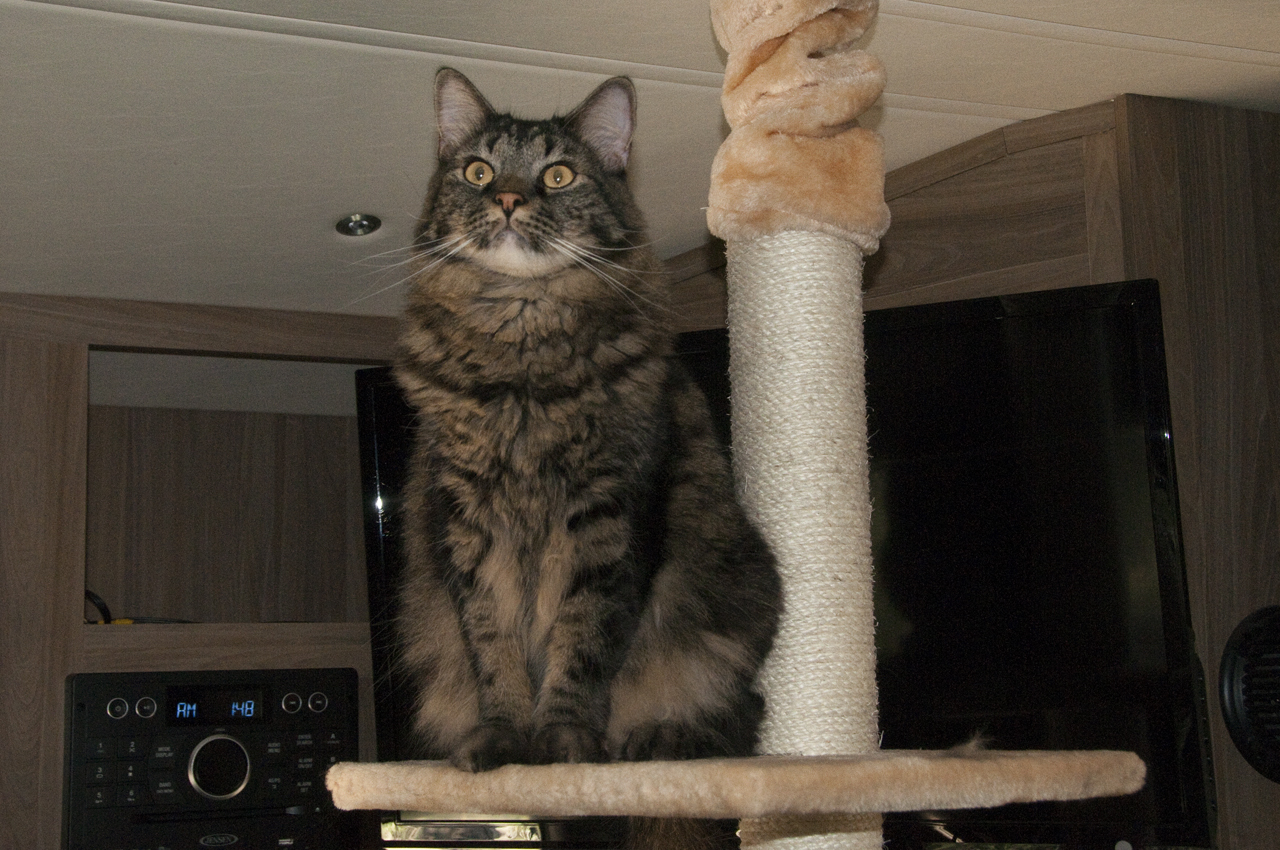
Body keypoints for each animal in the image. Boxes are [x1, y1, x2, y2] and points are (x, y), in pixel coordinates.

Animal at [394, 68, 778, 803]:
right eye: (479, 170)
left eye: (560, 174)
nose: (509, 199)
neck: (521, 358)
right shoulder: (466, 523)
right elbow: (493, 644)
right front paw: (505, 741)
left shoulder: (608, 514)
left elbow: (584, 637)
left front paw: (565, 744)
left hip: (735, 595)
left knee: (737, 713)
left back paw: (654, 742)